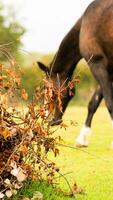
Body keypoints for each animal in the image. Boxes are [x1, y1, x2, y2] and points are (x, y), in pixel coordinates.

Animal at [38, 0, 113, 147]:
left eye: (47, 89)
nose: (50, 119)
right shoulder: (109, 68)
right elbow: (93, 103)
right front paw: (82, 139)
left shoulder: (97, 64)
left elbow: (109, 104)